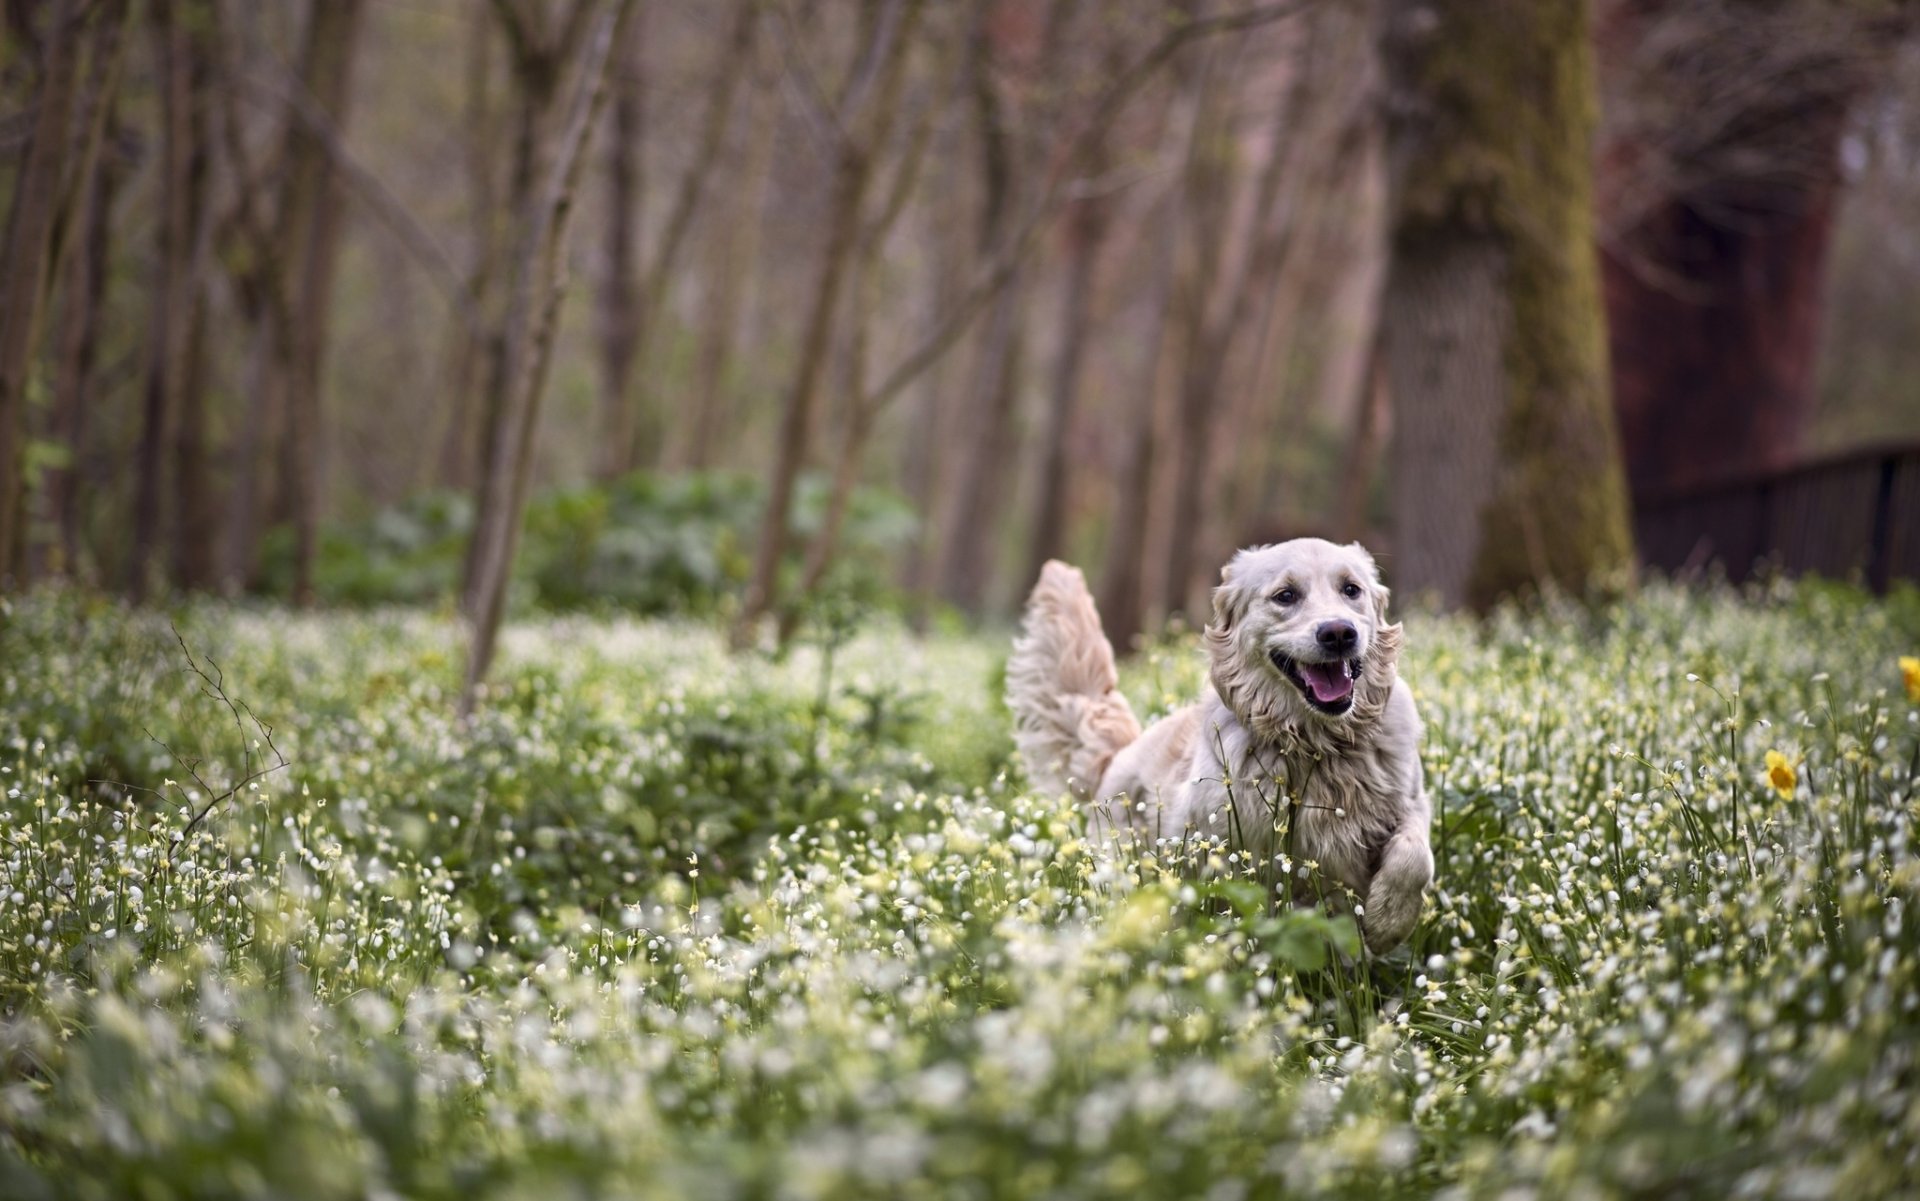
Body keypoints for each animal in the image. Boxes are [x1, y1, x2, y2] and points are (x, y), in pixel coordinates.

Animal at [1013, 537, 1436, 947]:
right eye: (1285, 595)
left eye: (1351, 589)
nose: (1338, 633)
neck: (1318, 742)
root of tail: (1117, 757)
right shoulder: (1228, 843)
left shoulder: (1411, 800)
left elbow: (1416, 858)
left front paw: (1389, 920)